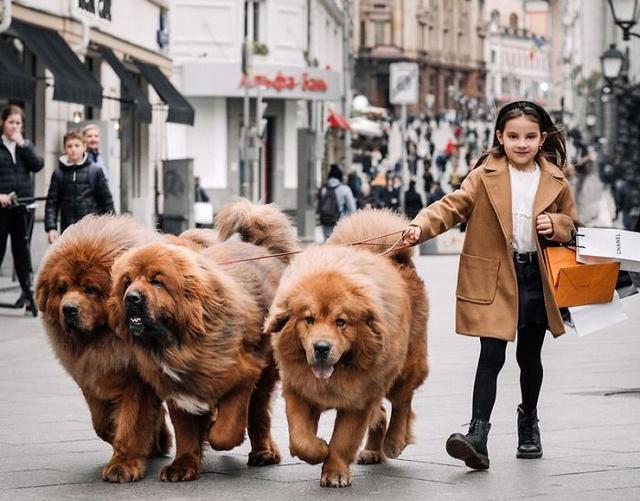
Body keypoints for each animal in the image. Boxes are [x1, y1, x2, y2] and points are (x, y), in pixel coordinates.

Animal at [34, 215, 170, 480]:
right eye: (62, 288)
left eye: (91, 289)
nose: (68, 309)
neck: (103, 341)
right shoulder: (90, 377)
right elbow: (102, 422)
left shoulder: (137, 383)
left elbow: (132, 422)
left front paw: (123, 464)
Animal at [109, 199, 298, 480]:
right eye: (127, 281)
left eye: (156, 281)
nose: (131, 297)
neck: (179, 344)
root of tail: (263, 250)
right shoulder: (177, 392)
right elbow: (185, 432)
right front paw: (183, 465)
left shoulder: (243, 375)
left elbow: (226, 431)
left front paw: (214, 433)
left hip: (265, 374)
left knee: (258, 414)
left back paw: (263, 452)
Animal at [264, 209, 430, 486]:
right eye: (309, 319)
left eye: (341, 322)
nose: (321, 347)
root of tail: (394, 257)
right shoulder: (298, 389)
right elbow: (301, 439)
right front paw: (319, 447)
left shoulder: (359, 398)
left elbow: (343, 439)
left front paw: (335, 472)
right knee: (381, 412)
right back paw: (373, 451)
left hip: (405, 366)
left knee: (402, 402)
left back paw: (394, 441)